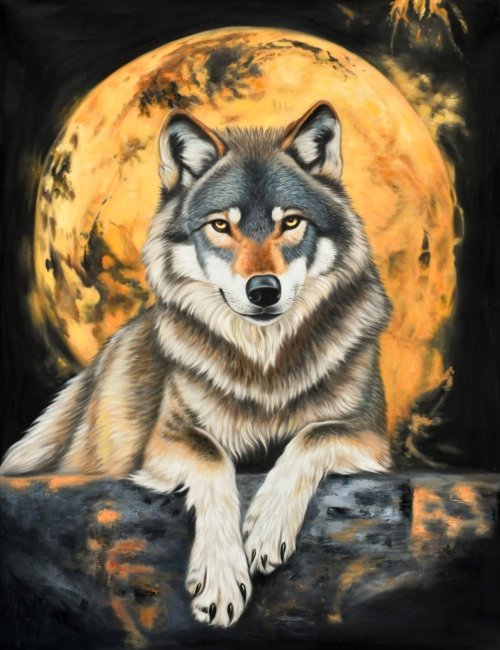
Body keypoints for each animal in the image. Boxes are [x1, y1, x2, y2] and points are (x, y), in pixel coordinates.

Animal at [1, 101, 392, 627]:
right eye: (221, 226)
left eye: (290, 222)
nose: (263, 290)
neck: (262, 366)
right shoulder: (165, 439)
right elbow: (213, 458)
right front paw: (221, 579)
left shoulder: (368, 433)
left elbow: (311, 436)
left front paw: (266, 527)